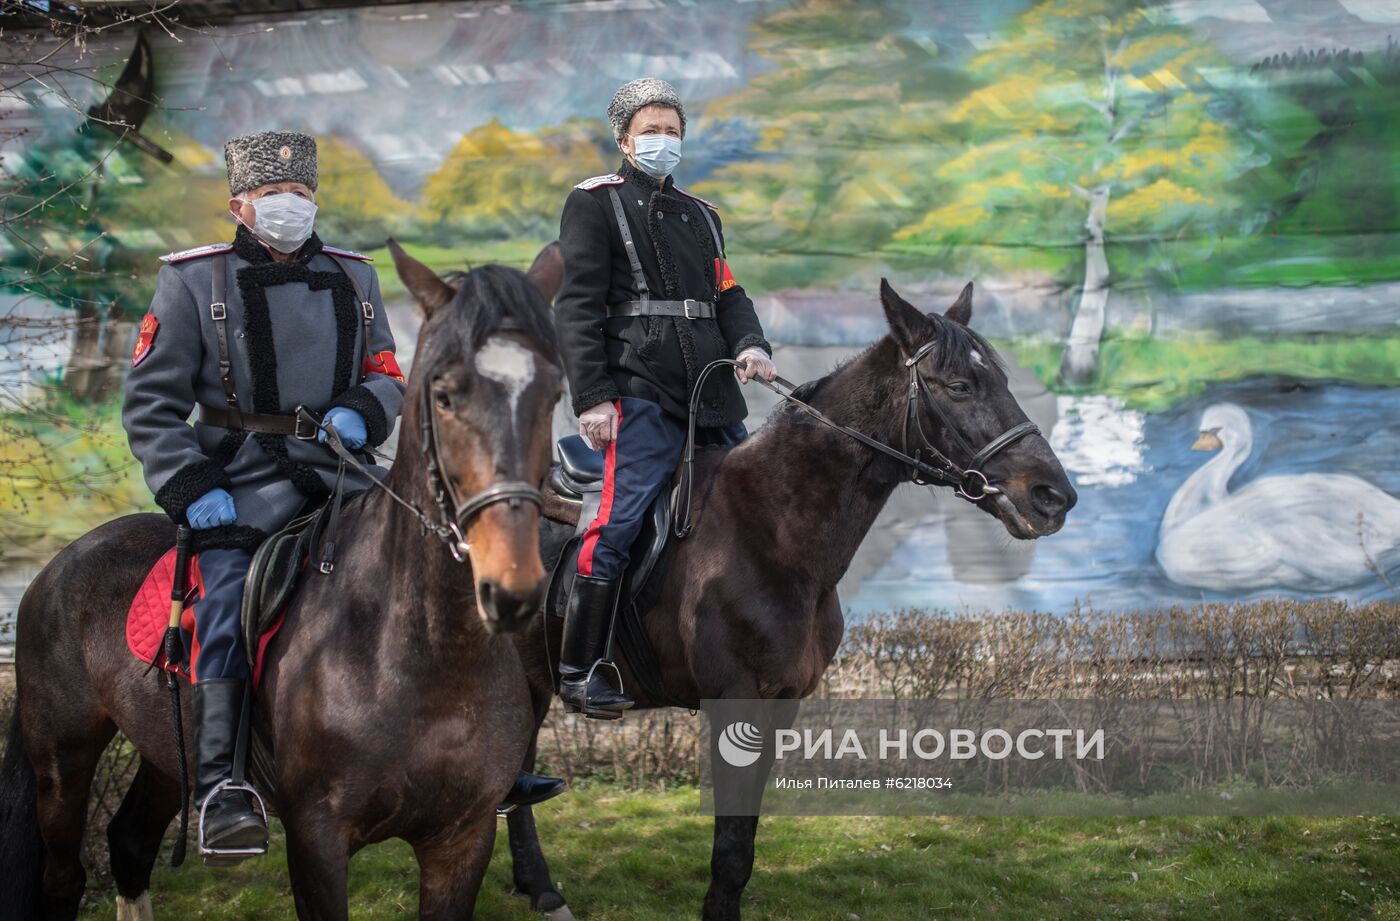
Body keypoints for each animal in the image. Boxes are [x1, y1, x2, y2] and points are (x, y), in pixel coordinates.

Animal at [2, 240, 568, 912]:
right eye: (446, 395)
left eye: (552, 395)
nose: (512, 586)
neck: (423, 652)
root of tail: (60, 564)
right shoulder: (317, 838)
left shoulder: (463, 839)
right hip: (62, 758)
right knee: (63, 876)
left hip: (167, 752)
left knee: (130, 843)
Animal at [506, 275, 1080, 918]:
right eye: (958, 386)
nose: (1053, 496)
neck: (772, 530)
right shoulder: (735, 699)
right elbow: (731, 841)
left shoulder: (781, 703)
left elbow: (744, 838)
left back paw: (540, 887)